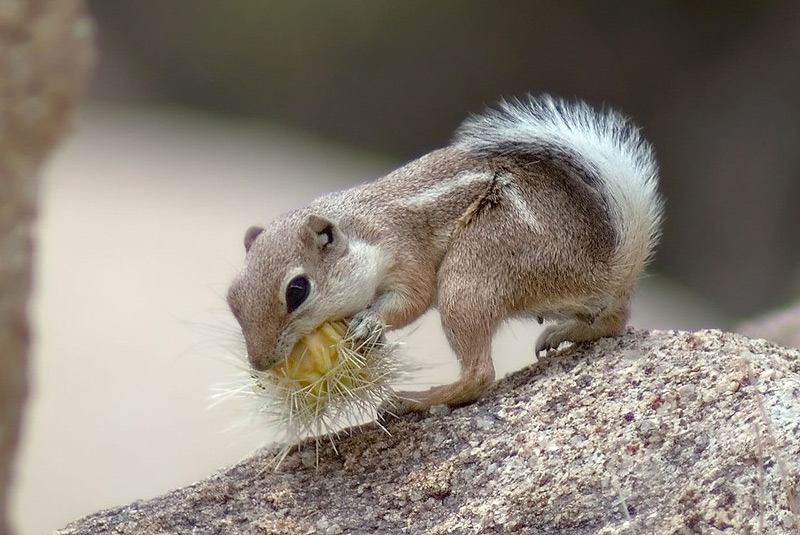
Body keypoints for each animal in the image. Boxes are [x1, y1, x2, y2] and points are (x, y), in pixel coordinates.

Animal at [230, 95, 664, 414]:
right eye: (232, 299)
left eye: (297, 291)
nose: (259, 364)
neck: (359, 228)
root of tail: (606, 264)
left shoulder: (404, 254)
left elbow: (414, 299)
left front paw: (369, 323)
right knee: (614, 318)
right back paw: (565, 333)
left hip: (468, 274)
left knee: (479, 375)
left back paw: (411, 401)